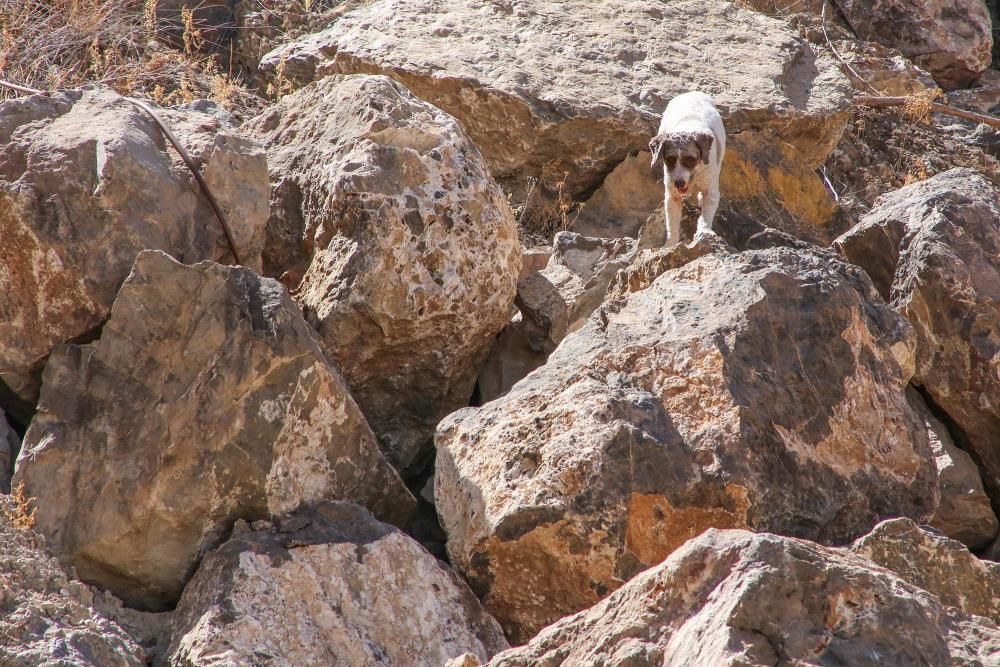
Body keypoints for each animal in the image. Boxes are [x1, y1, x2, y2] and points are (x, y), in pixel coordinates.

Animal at [648, 90, 728, 244]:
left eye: (690, 159)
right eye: (670, 159)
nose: (679, 183)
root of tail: (692, 92)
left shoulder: (711, 191)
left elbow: (705, 216)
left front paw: (704, 232)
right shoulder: (672, 196)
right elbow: (672, 224)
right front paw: (670, 245)